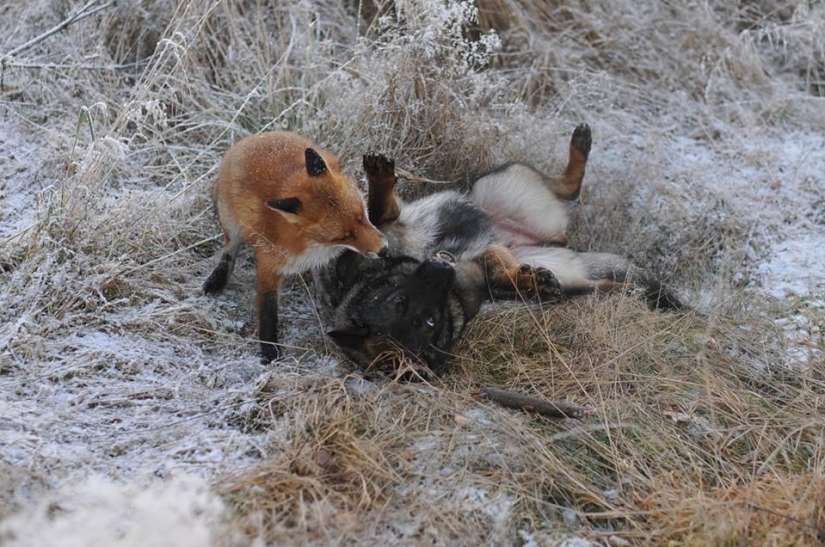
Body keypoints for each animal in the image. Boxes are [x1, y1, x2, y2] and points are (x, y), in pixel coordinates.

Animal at [203, 131, 387, 363]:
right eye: (344, 236)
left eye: (362, 215)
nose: (384, 249)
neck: (311, 245)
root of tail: (255, 137)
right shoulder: (268, 263)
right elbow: (268, 311)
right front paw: (270, 349)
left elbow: (325, 281)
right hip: (232, 224)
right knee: (228, 251)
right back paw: (217, 278)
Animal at [313, 124, 685, 376]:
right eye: (428, 321)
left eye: (399, 298)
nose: (441, 270)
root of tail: (543, 239)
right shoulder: (478, 272)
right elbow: (497, 267)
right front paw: (526, 280)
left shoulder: (386, 230)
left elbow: (379, 208)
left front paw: (378, 176)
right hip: (562, 270)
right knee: (588, 261)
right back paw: (622, 292)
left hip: (497, 183)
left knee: (565, 189)